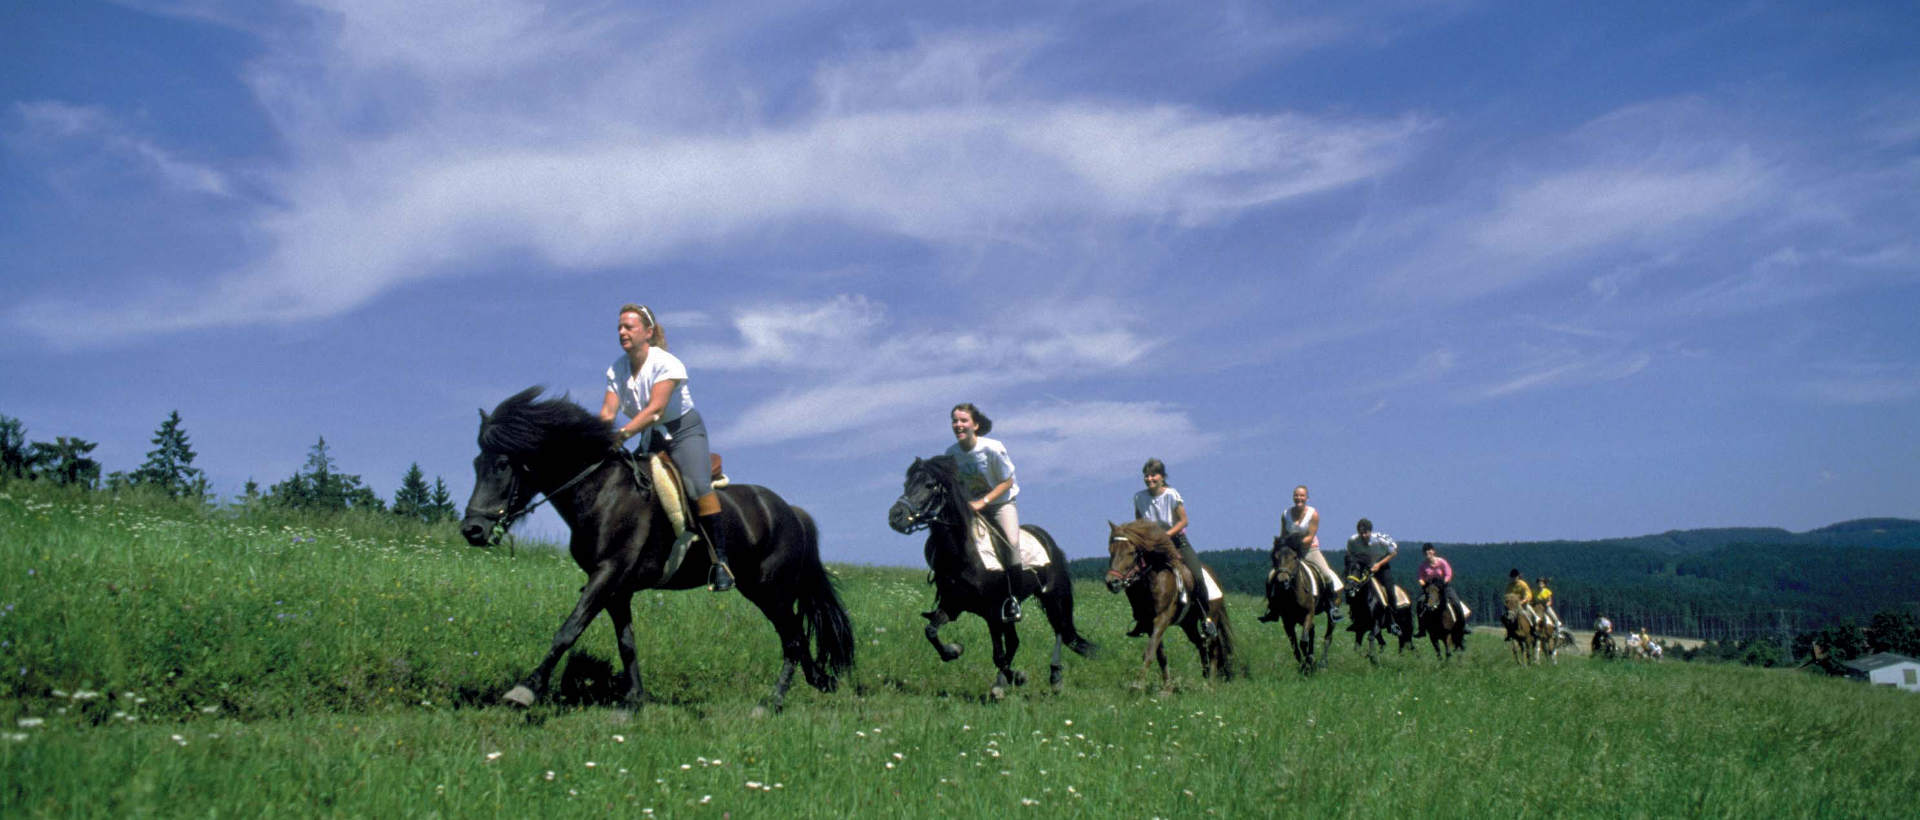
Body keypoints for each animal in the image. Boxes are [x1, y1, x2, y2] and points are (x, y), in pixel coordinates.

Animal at [456, 387, 856, 714]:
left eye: (502, 465)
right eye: (476, 463)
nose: (472, 530)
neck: (601, 491)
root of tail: (790, 512)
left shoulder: (607, 574)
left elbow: (569, 630)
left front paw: (525, 690)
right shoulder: (616, 589)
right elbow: (627, 643)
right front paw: (633, 701)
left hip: (770, 591)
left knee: (793, 640)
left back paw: (772, 703)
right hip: (766, 592)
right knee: (797, 639)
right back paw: (816, 682)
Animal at [883, 455, 1098, 699]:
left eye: (929, 485)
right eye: (906, 484)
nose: (895, 517)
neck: (964, 553)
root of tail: (1046, 538)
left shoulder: (993, 612)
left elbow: (998, 655)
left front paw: (1016, 678)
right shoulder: (953, 606)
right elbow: (931, 631)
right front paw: (954, 651)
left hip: (1051, 597)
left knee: (1060, 630)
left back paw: (1055, 678)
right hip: (1012, 612)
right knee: (1016, 640)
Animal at [1105, 522, 1236, 691]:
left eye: (1132, 552)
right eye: (1111, 551)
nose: (1112, 582)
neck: (1152, 579)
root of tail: (1215, 578)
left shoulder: (1162, 618)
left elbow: (1149, 652)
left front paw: (1138, 685)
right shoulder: (1149, 624)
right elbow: (1160, 654)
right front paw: (1167, 688)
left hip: (1211, 617)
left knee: (1213, 646)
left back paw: (1211, 684)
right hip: (1188, 624)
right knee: (1201, 644)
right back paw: (1205, 675)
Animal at [1259, 533, 1336, 675]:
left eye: (1294, 557)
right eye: (1275, 557)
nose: (1282, 581)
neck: (1293, 593)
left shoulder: (1308, 614)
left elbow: (1303, 642)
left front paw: (1309, 663)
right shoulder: (1287, 621)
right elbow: (1294, 646)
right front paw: (1305, 665)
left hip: (1329, 615)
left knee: (1328, 637)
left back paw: (1323, 664)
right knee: (1312, 631)